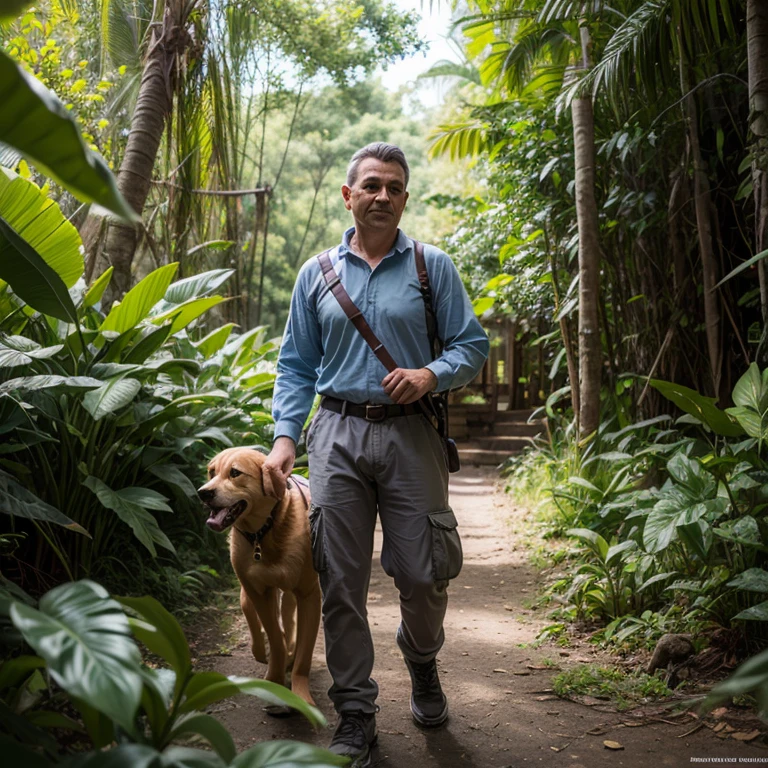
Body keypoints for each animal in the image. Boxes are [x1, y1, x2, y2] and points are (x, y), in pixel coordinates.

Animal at [198, 450, 320, 708]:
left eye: (235, 472)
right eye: (212, 472)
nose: (203, 493)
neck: (264, 532)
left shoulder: (309, 594)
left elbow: (303, 652)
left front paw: (301, 695)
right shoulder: (257, 590)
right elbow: (273, 637)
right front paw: (274, 677)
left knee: (290, 623)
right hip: (253, 591)